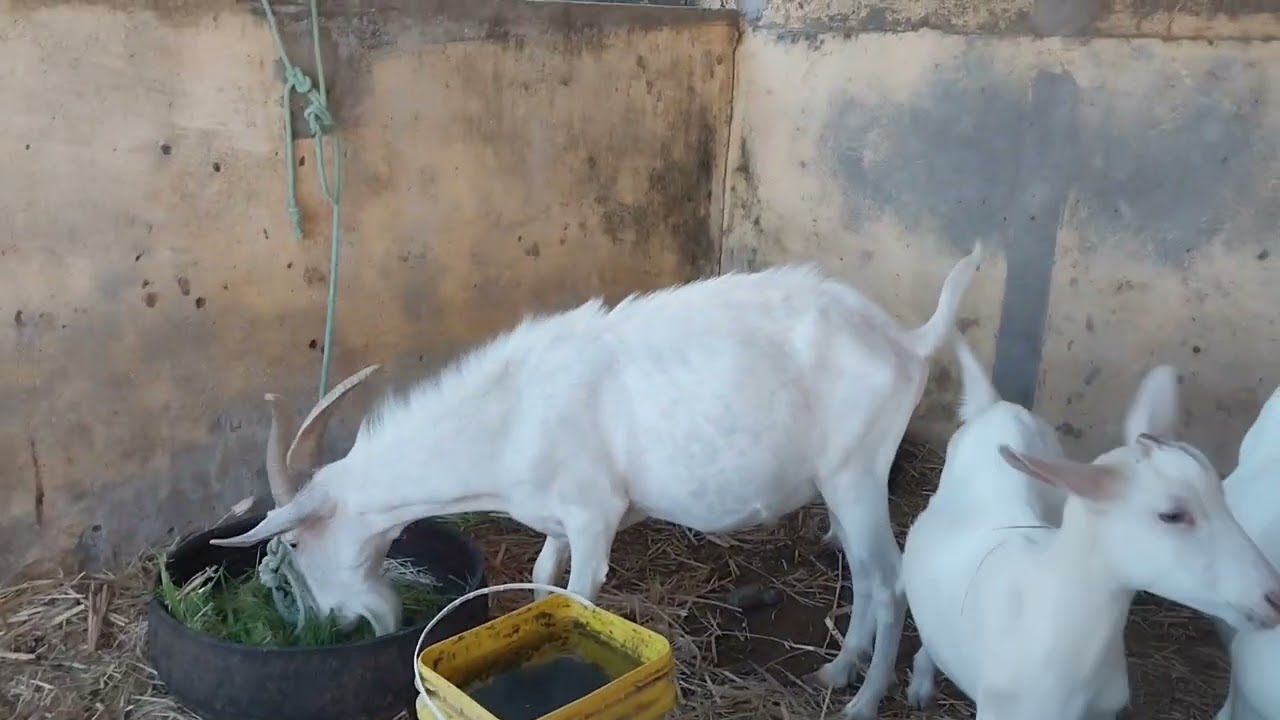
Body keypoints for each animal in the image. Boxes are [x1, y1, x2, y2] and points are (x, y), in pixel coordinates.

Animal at [211, 244, 984, 720]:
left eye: (296, 547)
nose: (335, 626)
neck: (511, 416)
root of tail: (907, 341)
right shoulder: (556, 520)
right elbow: (543, 585)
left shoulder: (593, 515)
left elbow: (582, 598)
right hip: (838, 479)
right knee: (864, 575)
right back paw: (835, 671)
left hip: (859, 470)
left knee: (889, 580)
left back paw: (861, 700)